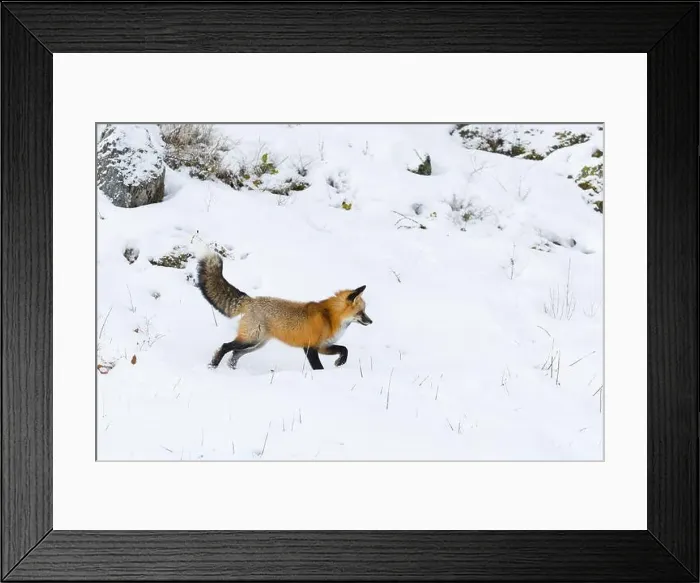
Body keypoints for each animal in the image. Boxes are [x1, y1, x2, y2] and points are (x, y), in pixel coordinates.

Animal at [196, 253, 372, 371]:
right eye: (361, 312)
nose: (371, 322)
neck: (330, 317)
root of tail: (251, 299)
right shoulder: (310, 347)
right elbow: (319, 367)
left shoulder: (323, 346)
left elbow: (344, 349)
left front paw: (340, 362)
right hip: (250, 339)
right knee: (226, 346)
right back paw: (213, 366)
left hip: (257, 343)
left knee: (235, 353)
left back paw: (232, 369)